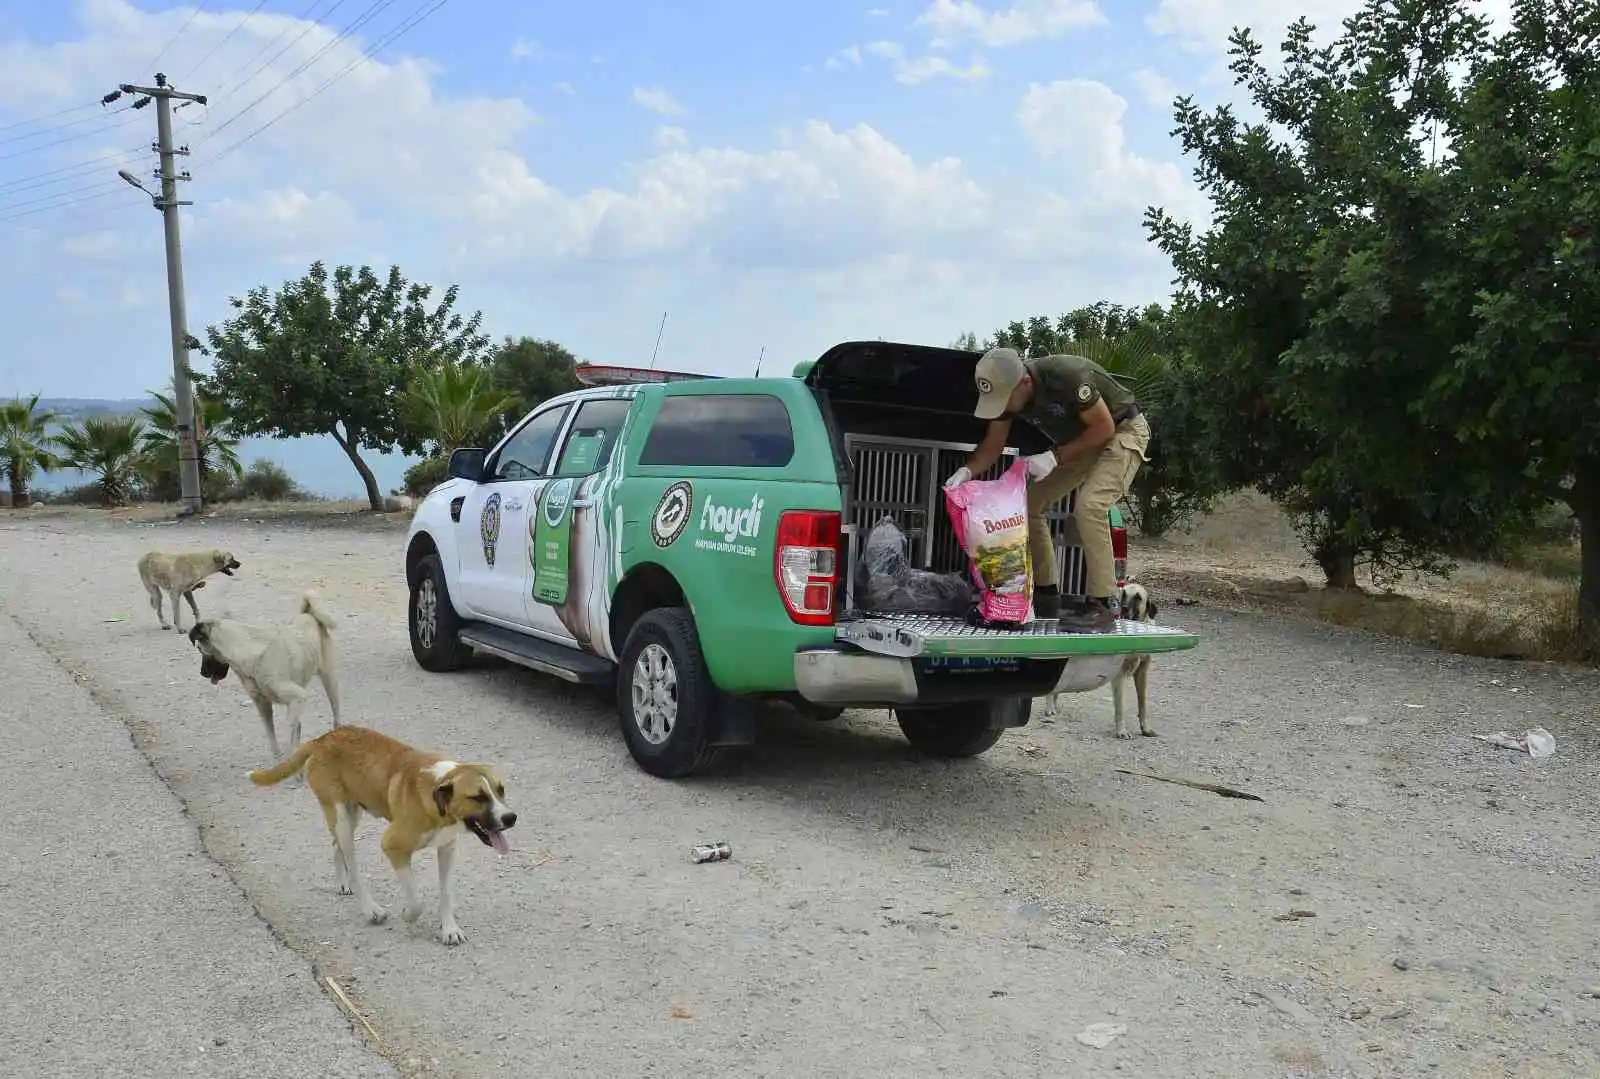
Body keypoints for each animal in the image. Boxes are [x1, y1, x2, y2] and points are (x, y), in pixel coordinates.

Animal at [188, 589, 342, 755]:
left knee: (335, 717)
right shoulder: (263, 706)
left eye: (199, 649)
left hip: (329, 680)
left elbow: (288, 737)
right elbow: (273, 740)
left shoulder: (298, 697)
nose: (202, 673)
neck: (249, 654)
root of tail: (308, 614)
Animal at [246, 723, 515, 941]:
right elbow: (417, 900)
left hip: (352, 813)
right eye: (478, 797)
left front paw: (449, 929)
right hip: (342, 819)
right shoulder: (392, 847)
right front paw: (408, 915)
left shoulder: (448, 847)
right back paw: (370, 909)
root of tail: (323, 738)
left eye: (501, 790)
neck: (436, 793)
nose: (511, 818)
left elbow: (446, 893)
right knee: (353, 867)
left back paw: (341, 882)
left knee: (336, 846)